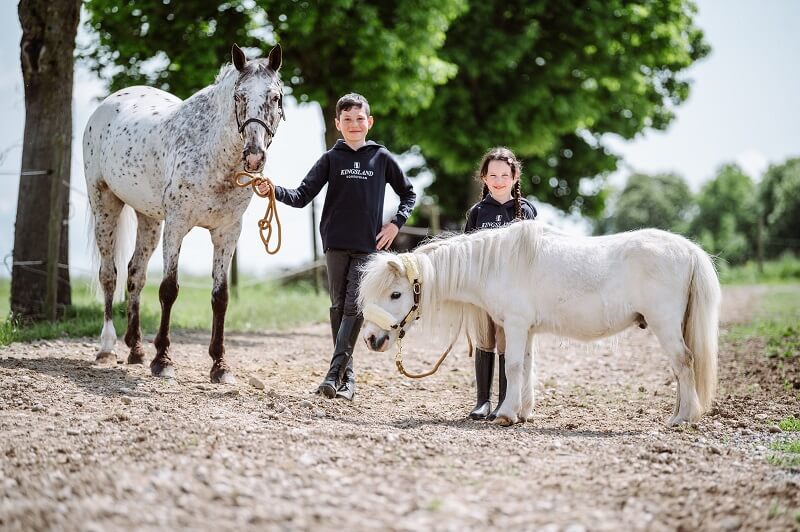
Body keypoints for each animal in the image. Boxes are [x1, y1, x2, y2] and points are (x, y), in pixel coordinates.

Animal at [83, 42, 284, 382]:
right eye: (238, 97)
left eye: (275, 97)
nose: (255, 157)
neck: (213, 154)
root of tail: (108, 103)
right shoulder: (177, 225)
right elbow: (169, 289)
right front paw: (162, 360)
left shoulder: (227, 232)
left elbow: (220, 297)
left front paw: (220, 366)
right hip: (105, 204)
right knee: (109, 274)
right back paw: (108, 347)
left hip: (149, 219)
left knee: (135, 274)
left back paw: (136, 349)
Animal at [360, 218, 720, 426]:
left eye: (395, 294)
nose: (371, 339)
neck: (495, 263)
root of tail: (688, 250)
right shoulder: (527, 330)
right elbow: (526, 366)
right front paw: (521, 412)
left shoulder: (517, 325)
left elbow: (513, 366)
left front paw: (506, 415)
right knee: (680, 368)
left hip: (665, 325)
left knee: (684, 363)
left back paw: (682, 418)